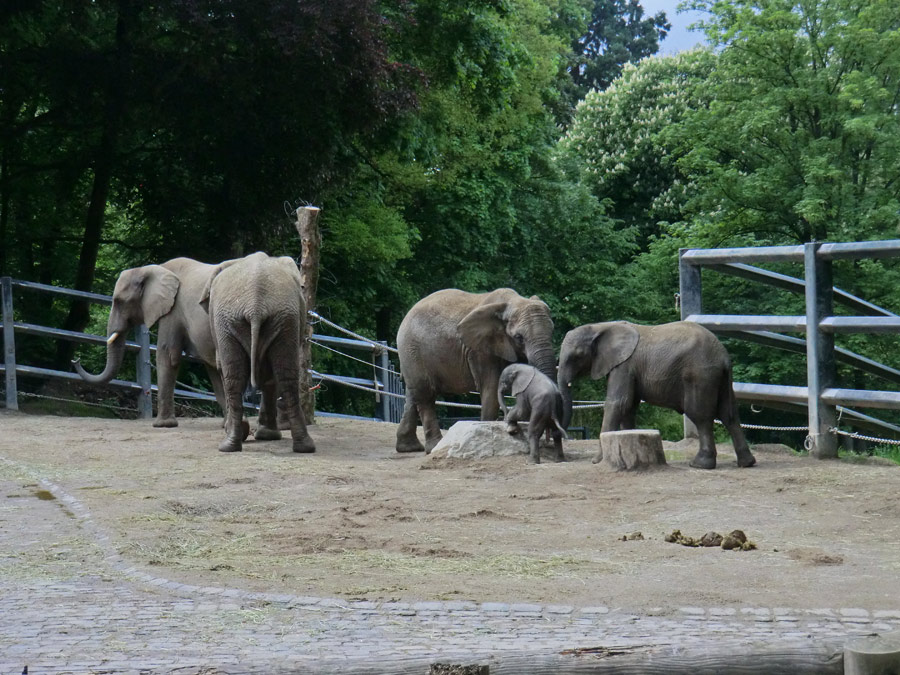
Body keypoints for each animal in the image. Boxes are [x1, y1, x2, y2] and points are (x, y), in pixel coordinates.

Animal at [71, 258, 278, 438]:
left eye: (119, 301)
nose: (76, 359)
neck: (153, 269)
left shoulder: (173, 311)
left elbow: (167, 355)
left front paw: (162, 425)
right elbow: (212, 367)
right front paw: (226, 425)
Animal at [204, 252, 316, 454]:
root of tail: (255, 305)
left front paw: (263, 435)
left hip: (245, 321)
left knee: (236, 377)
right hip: (280, 319)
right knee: (284, 377)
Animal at [396, 286, 556, 454]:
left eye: (552, 331)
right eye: (519, 337)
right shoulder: (479, 350)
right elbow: (491, 388)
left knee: (413, 394)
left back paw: (409, 448)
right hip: (412, 350)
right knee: (425, 395)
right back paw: (434, 447)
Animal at [560, 320, 756, 470]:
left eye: (577, 355)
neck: (601, 326)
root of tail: (724, 356)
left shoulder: (624, 366)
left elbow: (618, 403)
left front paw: (596, 461)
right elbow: (629, 407)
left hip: (700, 374)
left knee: (701, 416)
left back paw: (700, 465)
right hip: (719, 378)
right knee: (729, 415)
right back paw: (747, 463)